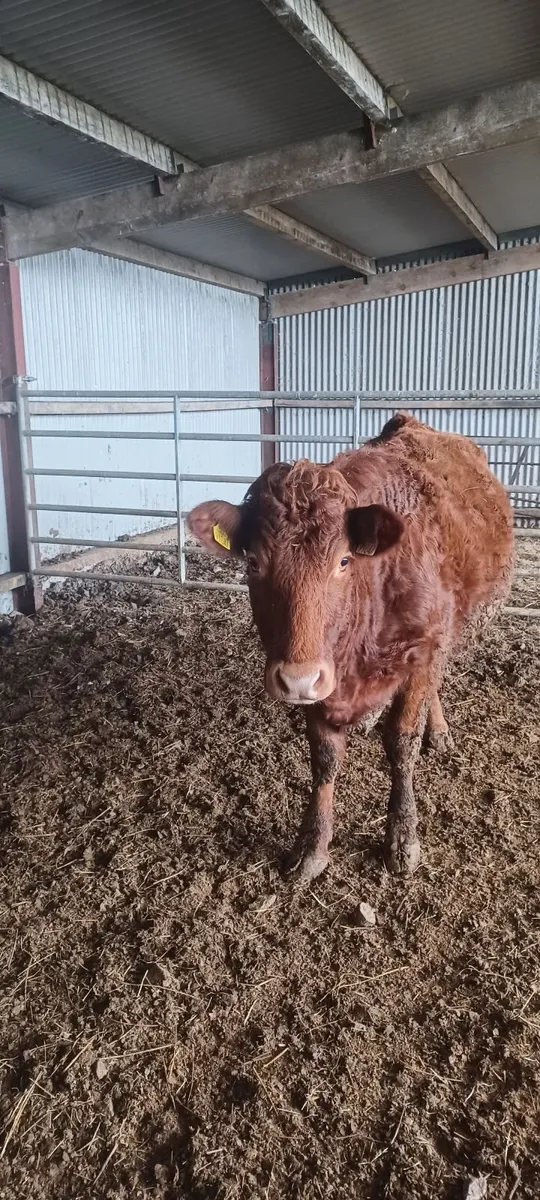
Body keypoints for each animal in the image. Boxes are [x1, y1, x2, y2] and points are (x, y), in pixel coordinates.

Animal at [187, 414, 514, 882]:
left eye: (343, 561)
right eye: (252, 563)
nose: (297, 679)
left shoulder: (420, 655)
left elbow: (401, 744)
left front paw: (402, 837)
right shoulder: (320, 676)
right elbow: (324, 759)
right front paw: (313, 846)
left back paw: (437, 729)